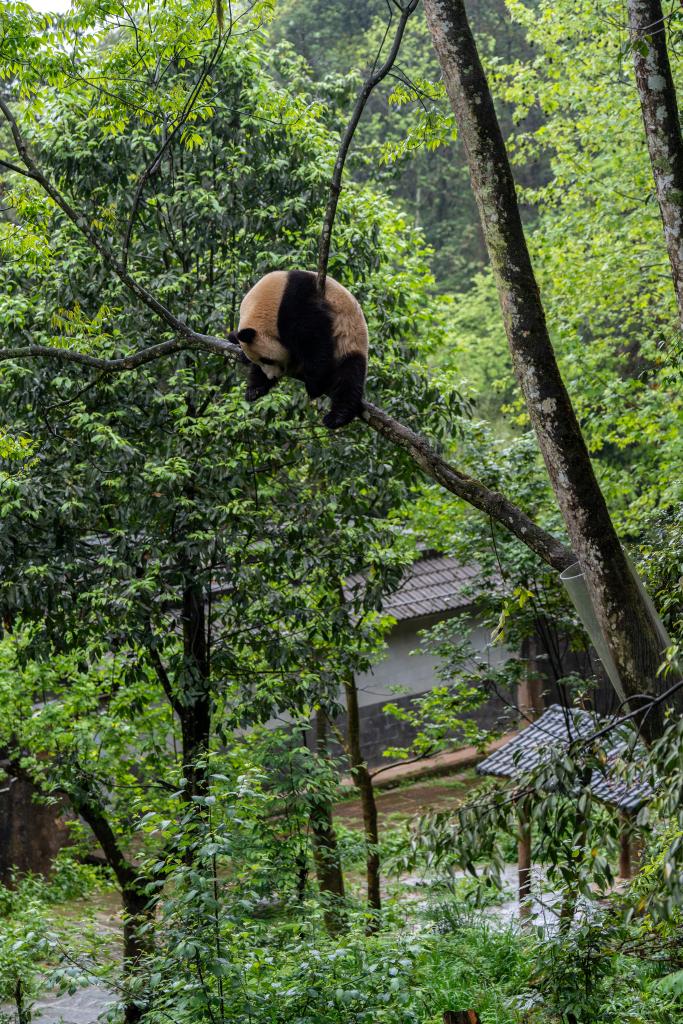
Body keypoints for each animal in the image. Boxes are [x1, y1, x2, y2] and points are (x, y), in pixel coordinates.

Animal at [229, 268, 368, 428]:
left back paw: (337, 417)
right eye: (260, 361)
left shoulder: (297, 301)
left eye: (267, 360)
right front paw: (255, 388)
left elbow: (314, 338)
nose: (272, 376)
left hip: (351, 339)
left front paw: (315, 385)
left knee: (349, 375)